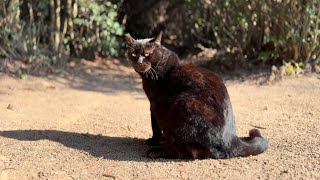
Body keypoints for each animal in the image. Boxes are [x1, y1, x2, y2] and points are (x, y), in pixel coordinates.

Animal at [125, 32, 268, 159]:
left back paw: (157, 151)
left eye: (147, 54)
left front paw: (154, 140)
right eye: (133, 54)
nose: (139, 62)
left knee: (187, 152)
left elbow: (154, 125)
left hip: (182, 103)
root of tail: (231, 141)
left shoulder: (155, 103)